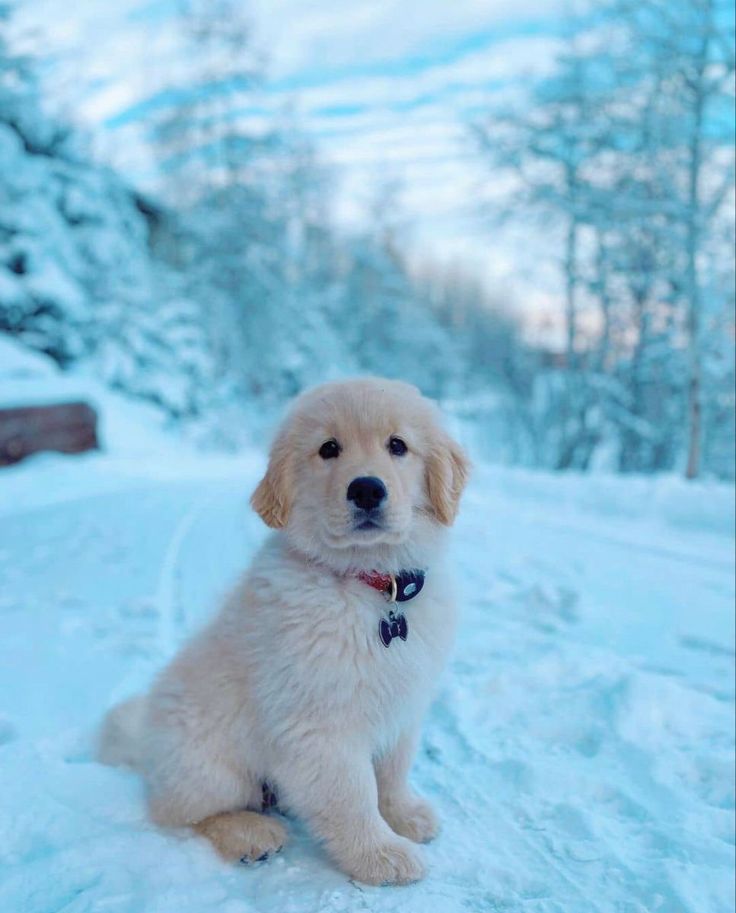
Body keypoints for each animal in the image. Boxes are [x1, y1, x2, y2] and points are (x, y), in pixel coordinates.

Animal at [99, 376, 466, 884]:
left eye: (398, 446)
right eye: (329, 449)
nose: (366, 490)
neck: (370, 586)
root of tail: (147, 746)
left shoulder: (402, 706)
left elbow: (392, 771)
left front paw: (405, 815)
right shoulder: (321, 724)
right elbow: (354, 795)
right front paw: (381, 855)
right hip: (212, 765)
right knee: (176, 812)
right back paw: (250, 834)